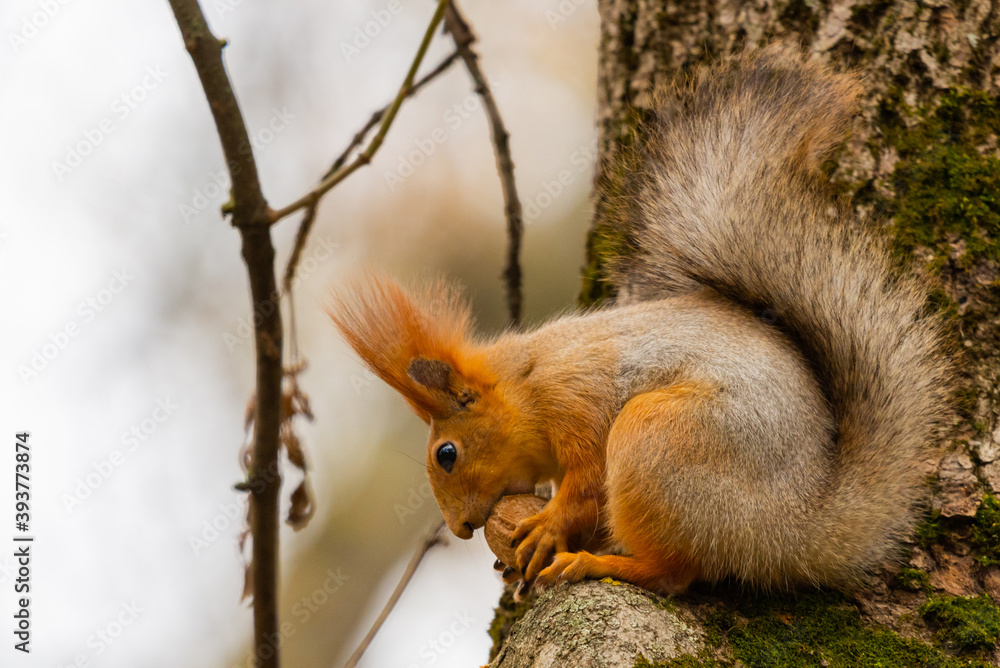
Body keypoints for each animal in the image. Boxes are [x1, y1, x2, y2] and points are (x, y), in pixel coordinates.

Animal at [328, 47, 947, 596]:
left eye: (447, 454)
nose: (459, 528)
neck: (527, 380)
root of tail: (793, 532)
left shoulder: (579, 399)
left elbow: (583, 485)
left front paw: (548, 529)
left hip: (659, 441)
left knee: (674, 573)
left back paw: (598, 563)